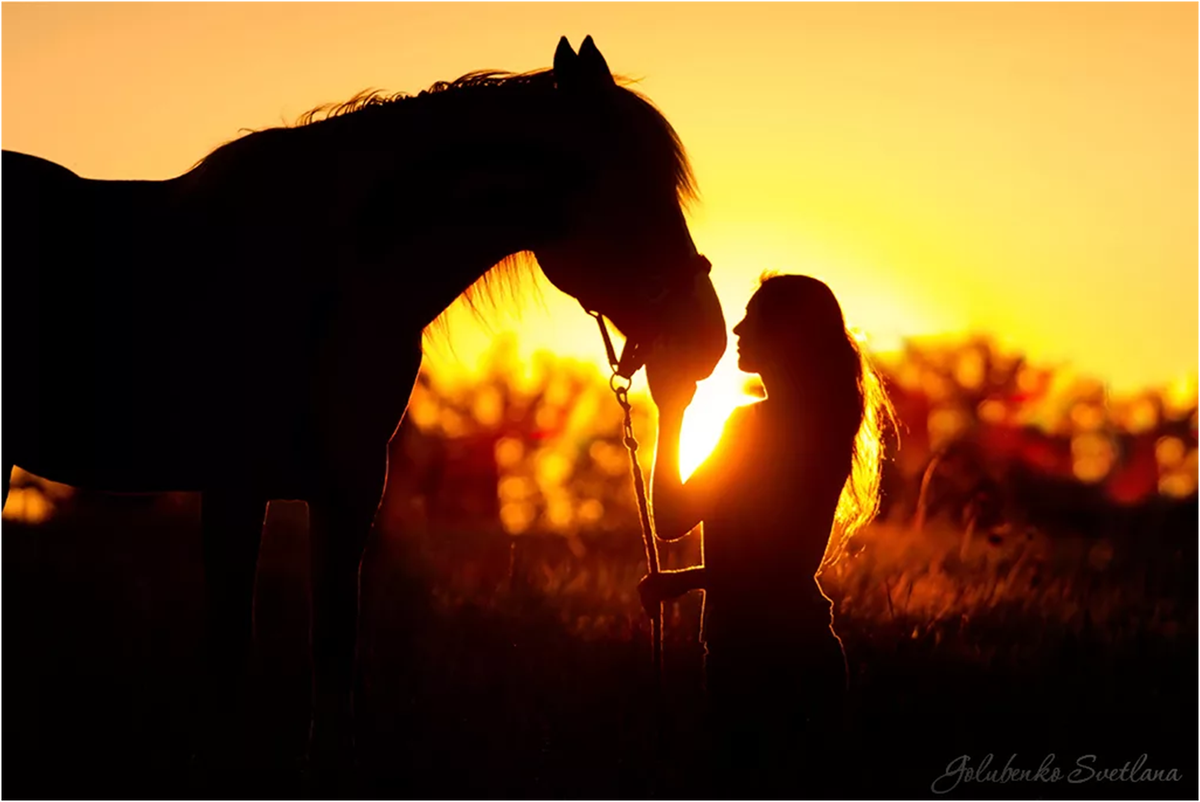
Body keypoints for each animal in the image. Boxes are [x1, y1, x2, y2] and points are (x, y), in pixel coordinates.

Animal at [2, 34, 720, 773]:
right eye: (635, 193)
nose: (707, 340)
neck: (324, 279)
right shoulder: (234, 486)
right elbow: (232, 652)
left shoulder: (350, 485)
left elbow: (334, 651)